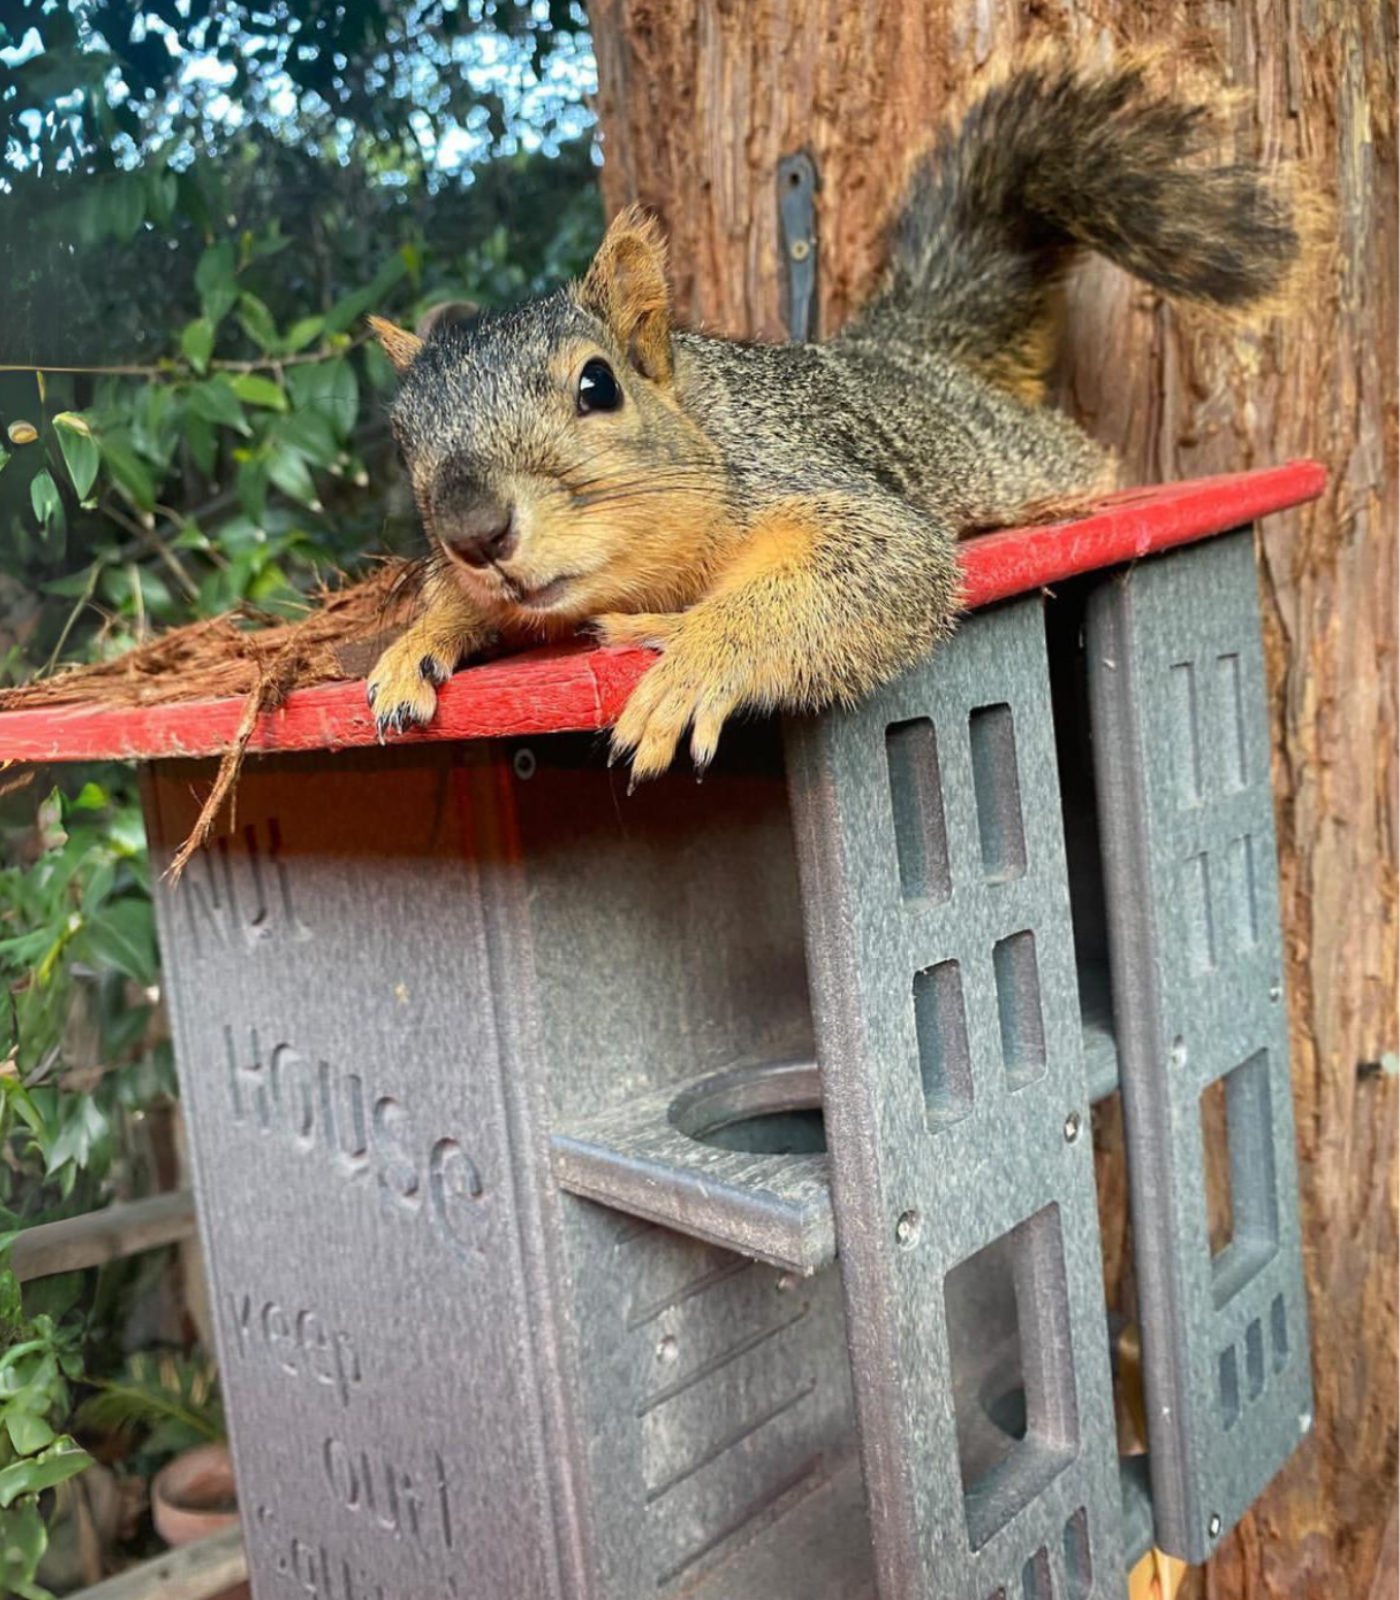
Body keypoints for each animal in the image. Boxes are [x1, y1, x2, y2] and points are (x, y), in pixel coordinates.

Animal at [365, 53, 1305, 782]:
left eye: (598, 386)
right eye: (403, 438)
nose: (475, 531)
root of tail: (903, 350)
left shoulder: (805, 471)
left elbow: (880, 562)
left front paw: (697, 654)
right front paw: (417, 643)